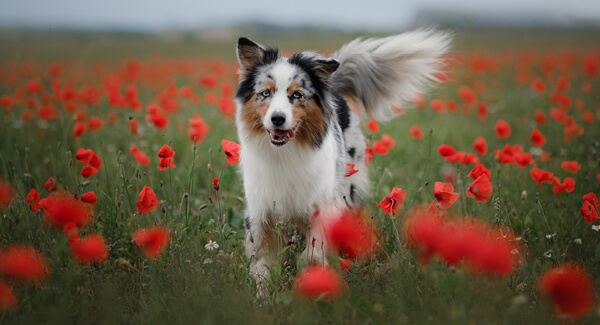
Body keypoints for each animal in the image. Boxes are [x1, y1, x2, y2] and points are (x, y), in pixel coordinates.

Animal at [234, 29, 450, 294]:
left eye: (297, 95)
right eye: (265, 93)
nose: (277, 118)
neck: (285, 153)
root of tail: (333, 83)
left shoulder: (326, 205)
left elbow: (313, 253)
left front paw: (311, 277)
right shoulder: (260, 212)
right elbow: (263, 264)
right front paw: (263, 296)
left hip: (350, 187)